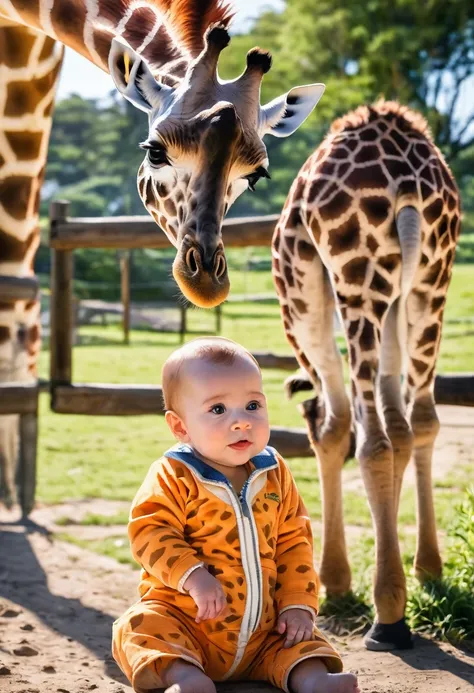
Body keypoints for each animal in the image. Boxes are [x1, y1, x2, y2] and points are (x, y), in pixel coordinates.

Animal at [272, 100, 462, 652]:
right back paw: (423, 573)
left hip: (353, 280)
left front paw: (334, 581)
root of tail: (409, 182)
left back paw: (389, 619)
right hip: (430, 281)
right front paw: (417, 570)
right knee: (419, 420)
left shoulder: (305, 292)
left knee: (368, 438)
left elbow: (333, 427)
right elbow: (402, 427)